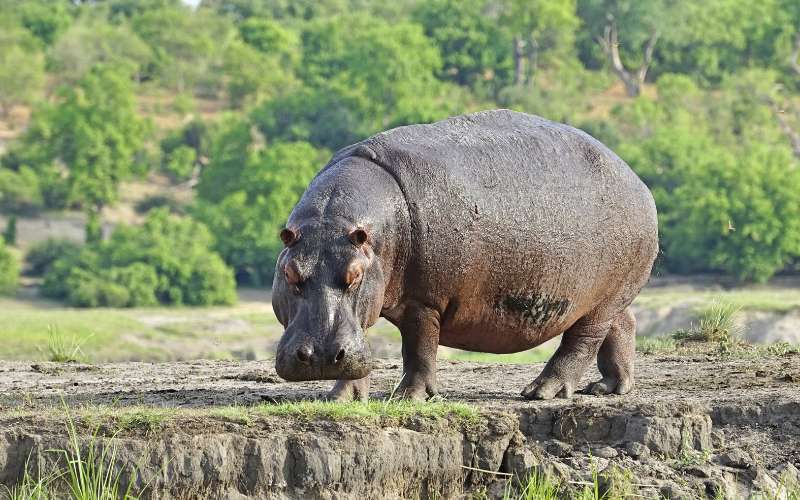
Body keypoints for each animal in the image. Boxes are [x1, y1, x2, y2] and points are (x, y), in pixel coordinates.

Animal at [272, 110, 660, 402]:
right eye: (290, 274)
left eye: (354, 276)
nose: (321, 356)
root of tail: (637, 180)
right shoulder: (365, 309)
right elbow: (358, 350)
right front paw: (341, 398)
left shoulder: (424, 301)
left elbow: (419, 348)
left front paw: (409, 397)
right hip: (612, 295)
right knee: (623, 323)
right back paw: (609, 388)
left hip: (598, 301)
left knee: (582, 340)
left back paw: (540, 391)